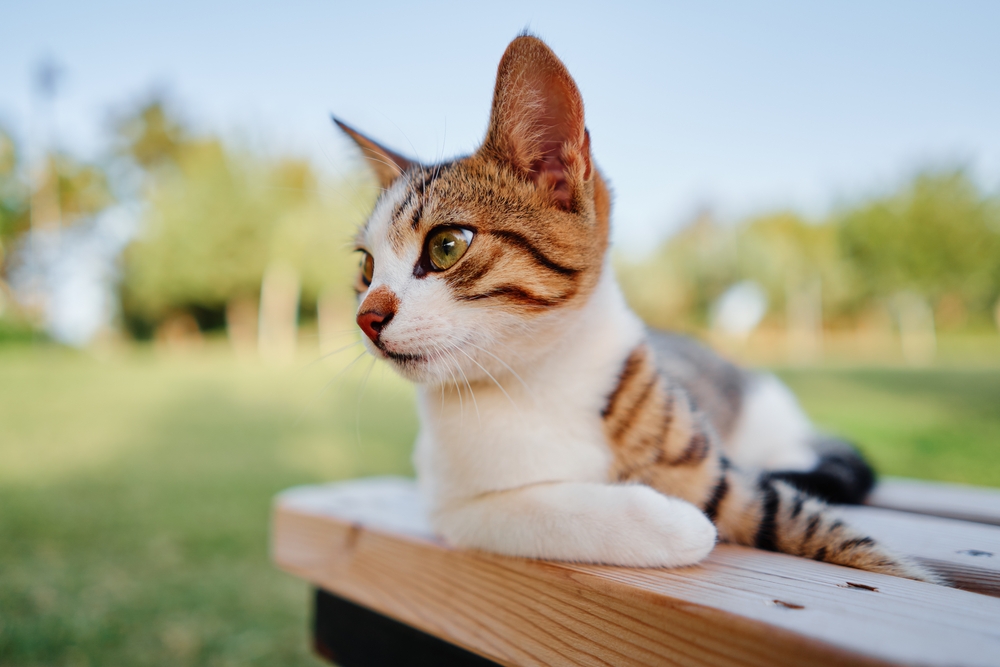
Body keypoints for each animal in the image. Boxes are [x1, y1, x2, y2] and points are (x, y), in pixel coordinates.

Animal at [336, 32, 936, 584]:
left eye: (446, 245)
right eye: (367, 268)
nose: (367, 317)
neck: (541, 378)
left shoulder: (724, 478)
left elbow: (841, 541)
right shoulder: (453, 503)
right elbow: (529, 510)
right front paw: (670, 523)